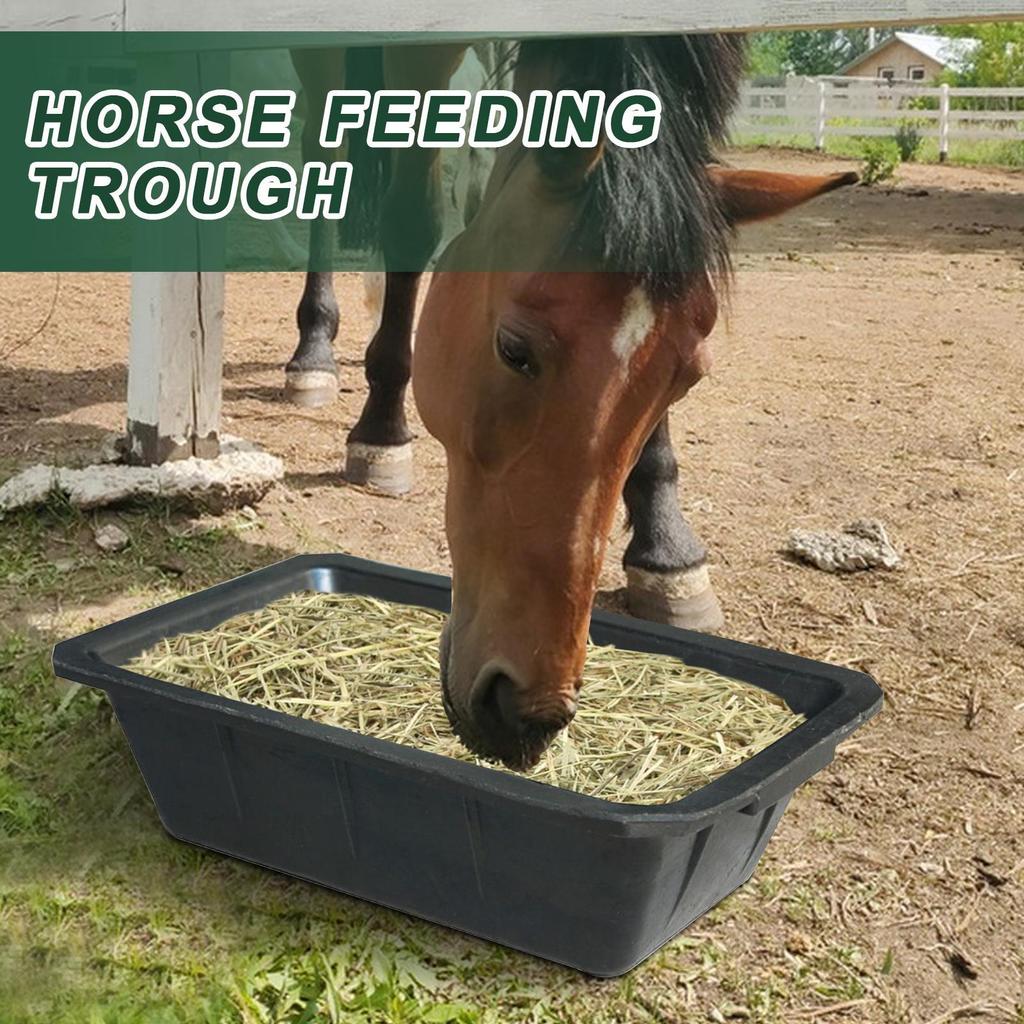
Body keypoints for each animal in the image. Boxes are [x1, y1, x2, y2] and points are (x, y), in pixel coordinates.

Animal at [285, 36, 856, 769]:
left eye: (689, 377)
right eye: (514, 349)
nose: (527, 714)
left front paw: (668, 551)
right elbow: (413, 210)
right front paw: (382, 430)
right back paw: (316, 355)